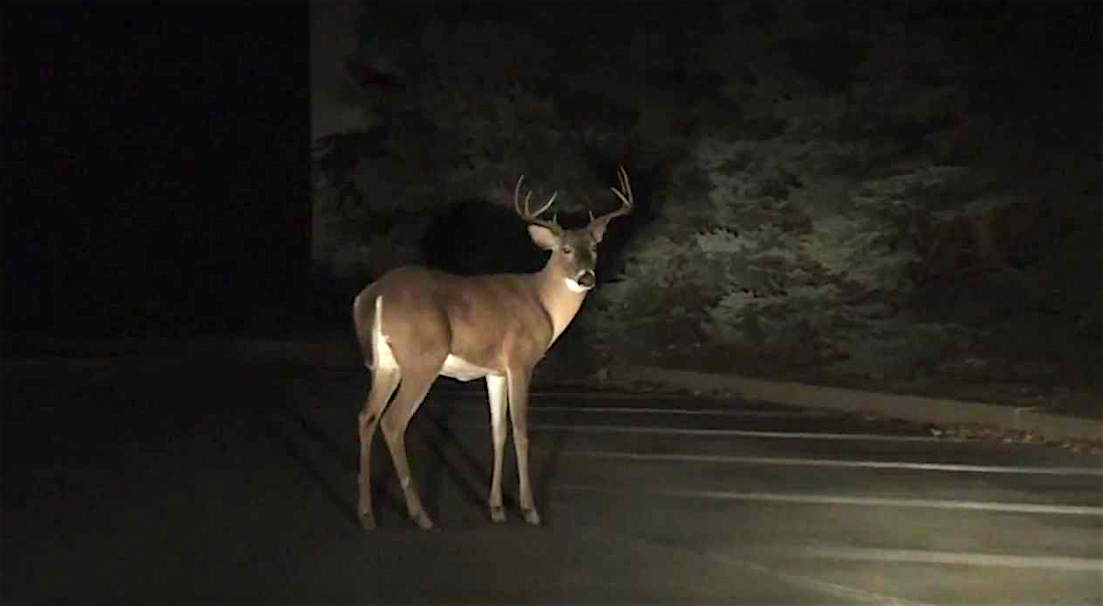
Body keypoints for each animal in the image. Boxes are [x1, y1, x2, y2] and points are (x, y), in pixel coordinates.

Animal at [348, 166, 635, 529]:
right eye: (565, 250)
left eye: (595, 247)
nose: (587, 278)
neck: (544, 304)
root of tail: (374, 294)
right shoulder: (520, 360)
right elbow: (522, 431)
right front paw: (529, 509)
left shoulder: (495, 371)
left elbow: (497, 432)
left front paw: (496, 508)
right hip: (422, 359)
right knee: (393, 422)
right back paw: (420, 515)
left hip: (386, 364)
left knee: (366, 416)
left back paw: (367, 514)